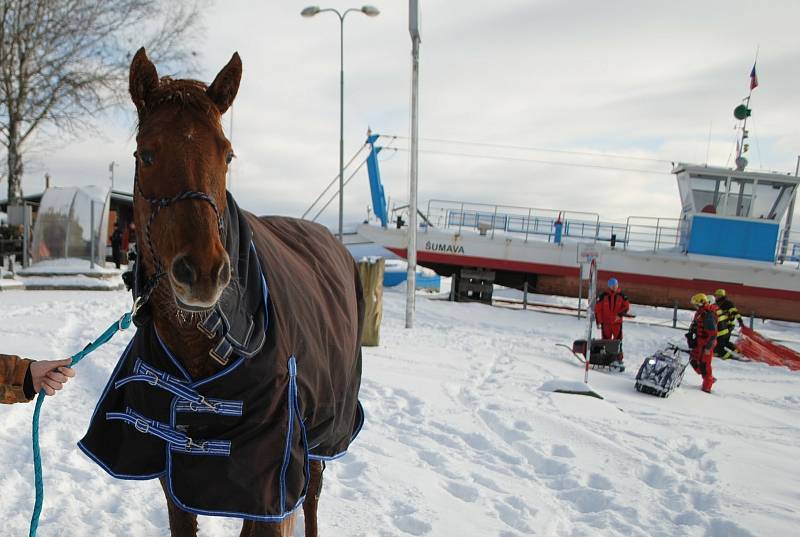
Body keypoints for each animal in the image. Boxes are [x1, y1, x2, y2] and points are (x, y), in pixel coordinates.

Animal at [78, 49, 362, 536]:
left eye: (227, 154)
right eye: (145, 153)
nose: (204, 272)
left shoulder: (269, 488)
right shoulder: (176, 480)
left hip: (323, 436)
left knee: (312, 501)